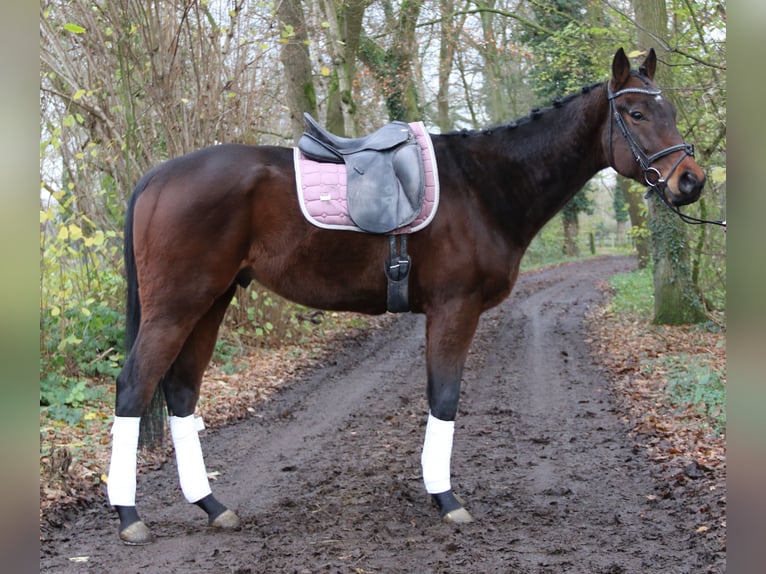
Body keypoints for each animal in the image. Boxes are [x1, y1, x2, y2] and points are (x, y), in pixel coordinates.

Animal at [108, 48, 708, 544]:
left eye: (672, 111)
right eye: (636, 114)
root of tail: (158, 176)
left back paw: (211, 506)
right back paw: (129, 516)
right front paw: (446, 499)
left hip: (211, 302)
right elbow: (445, 398)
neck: (485, 187)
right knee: (134, 387)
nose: (691, 181)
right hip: (178, 306)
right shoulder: (454, 308)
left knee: (181, 392)